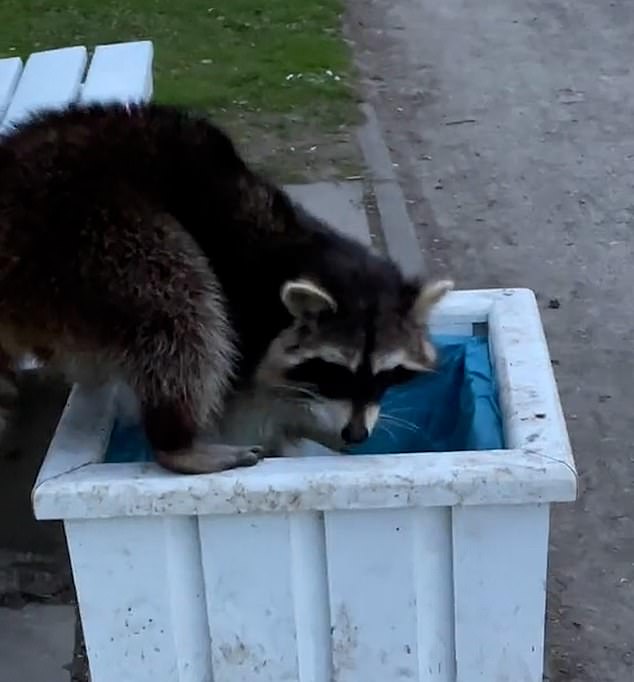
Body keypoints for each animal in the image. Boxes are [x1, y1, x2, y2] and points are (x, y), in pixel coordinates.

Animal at [0, 102, 452, 472]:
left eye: (387, 374)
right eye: (335, 370)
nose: (356, 435)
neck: (300, 253)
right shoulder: (245, 304)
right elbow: (245, 405)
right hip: (91, 236)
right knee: (180, 307)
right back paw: (176, 443)